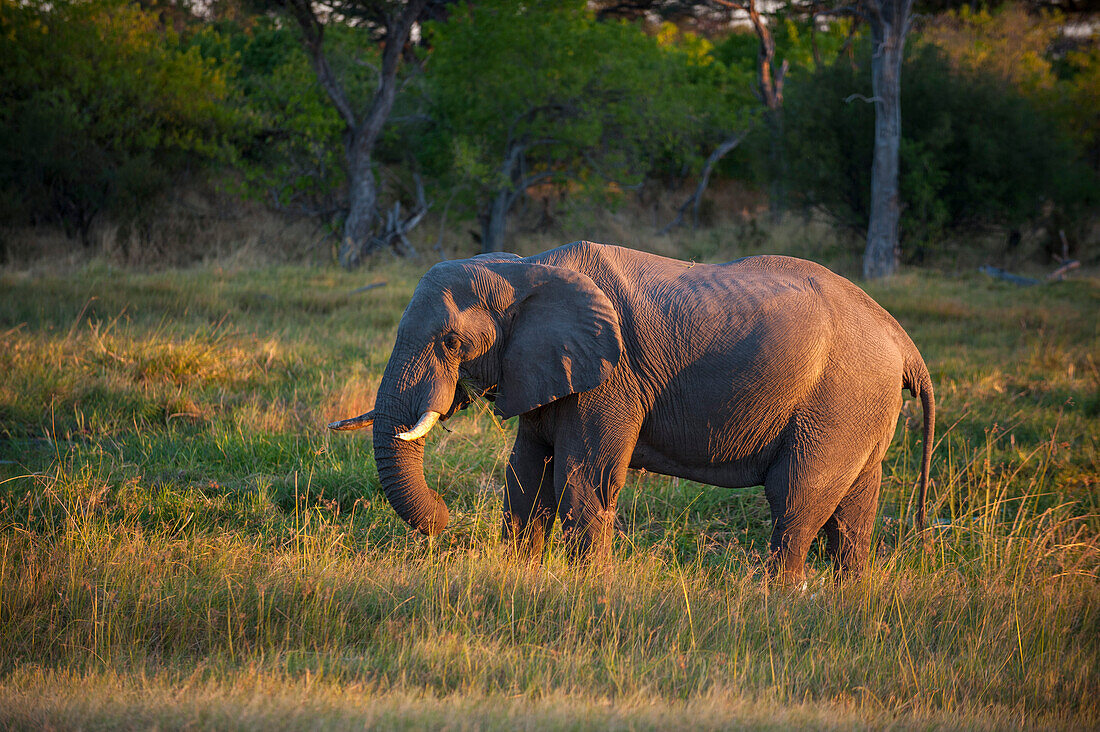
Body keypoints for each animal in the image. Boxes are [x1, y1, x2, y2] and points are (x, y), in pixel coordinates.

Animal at [330, 241, 932, 581]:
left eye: (452, 342)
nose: (446, 521)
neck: (525, 269)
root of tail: (904, 341)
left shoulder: (612, 379)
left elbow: (582, 475)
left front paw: (588, 588)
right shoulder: (546, 366)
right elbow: (526, 471)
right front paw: (520, 575)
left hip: (838, 404)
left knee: (797, 497)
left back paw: (774, 599)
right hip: (861, 410)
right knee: (852, 514)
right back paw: (845, 602)